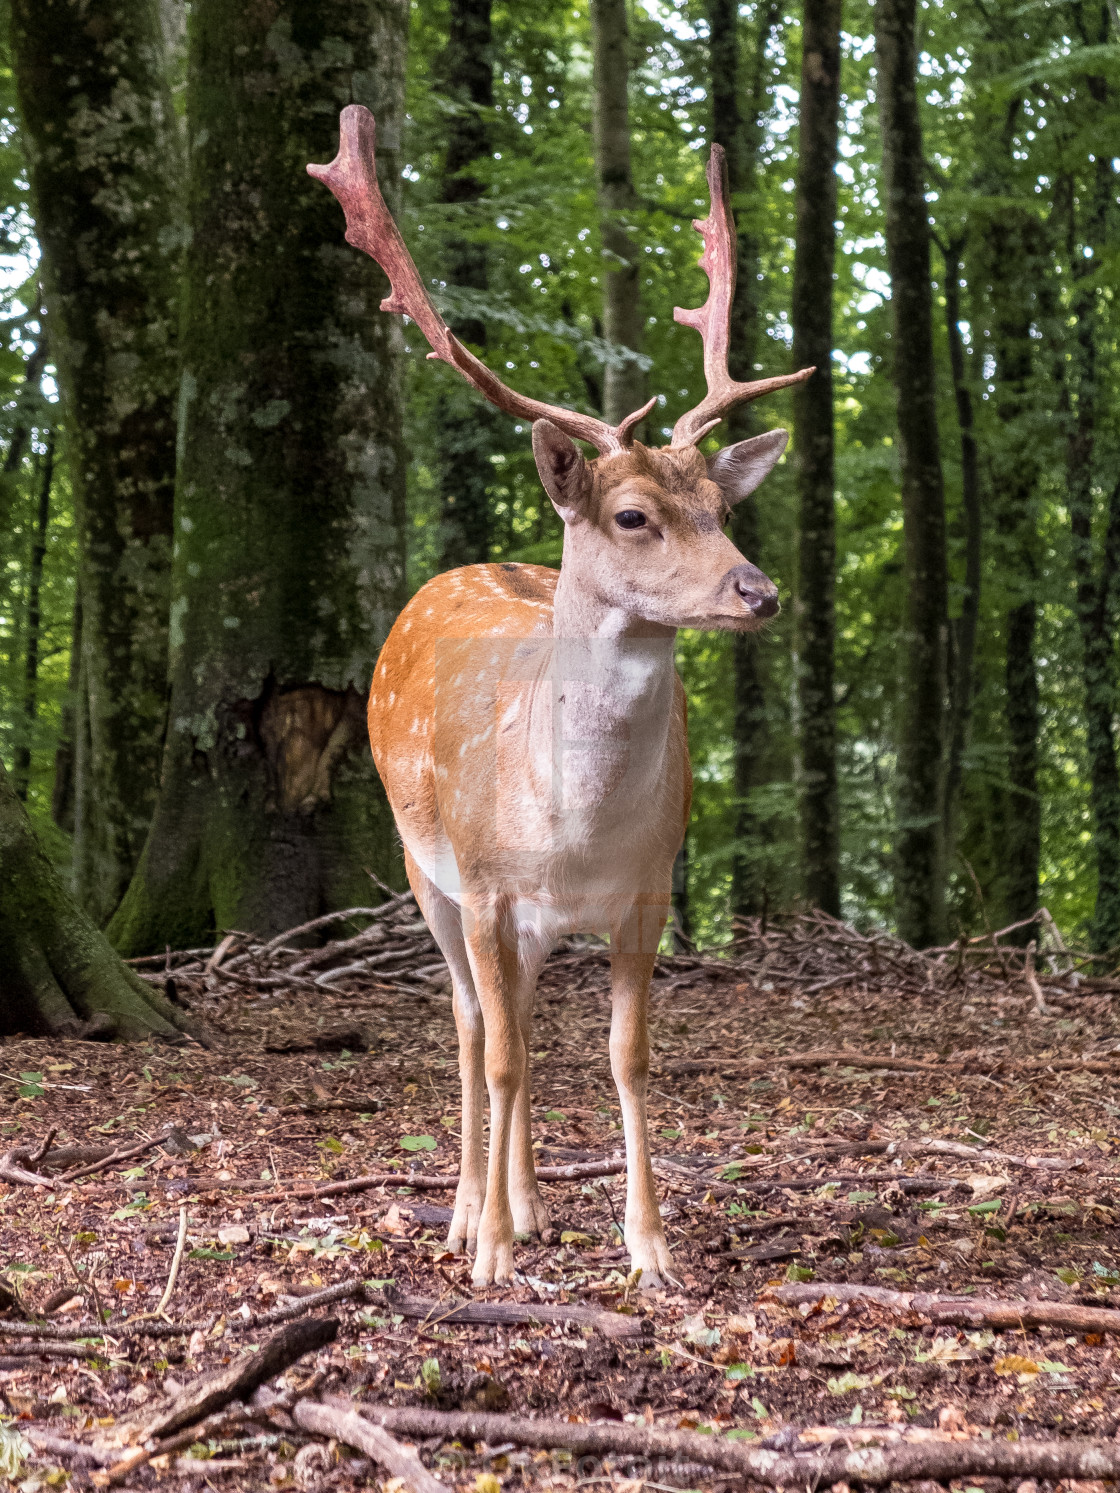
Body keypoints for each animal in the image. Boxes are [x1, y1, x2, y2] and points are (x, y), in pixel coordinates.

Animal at [312, 110, 812, 1289]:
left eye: (721, 503)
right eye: (631, 514)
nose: (758, 591)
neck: (575, 830)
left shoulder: (649, 892)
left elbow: (627, 1058)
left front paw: (651, 1247)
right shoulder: (490, 886)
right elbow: (495, 1054)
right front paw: (489, 1253)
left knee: (525, 1021)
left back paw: (532, 1201)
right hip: (424, 868)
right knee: (468, 1024)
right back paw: (468, 1212)